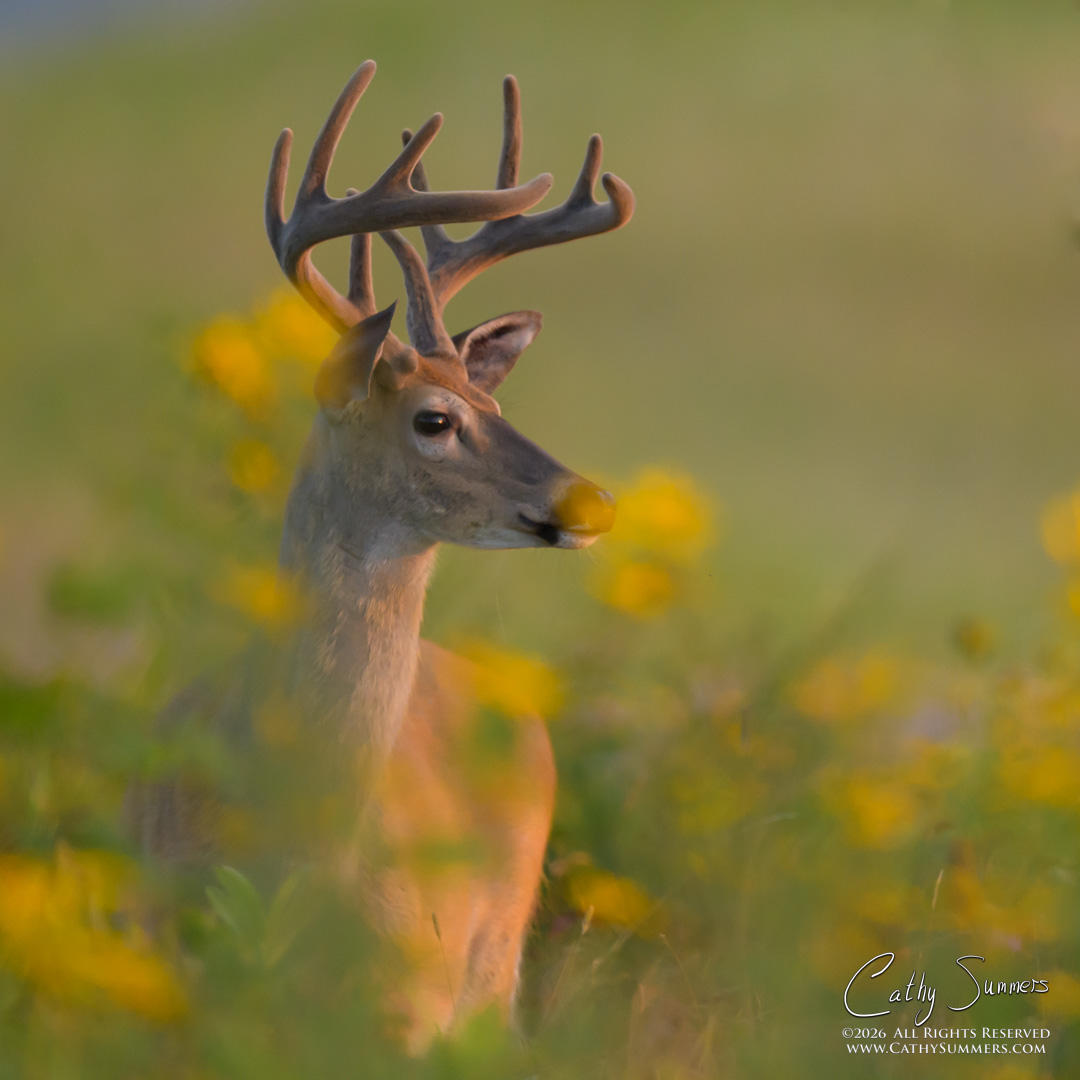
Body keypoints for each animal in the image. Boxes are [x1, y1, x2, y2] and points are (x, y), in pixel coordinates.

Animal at [131, 59, 633, 1052]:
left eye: (498, 404)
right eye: (434, 421)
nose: (590, 501)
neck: (298, 852)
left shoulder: (411, 1004)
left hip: (496, 957)